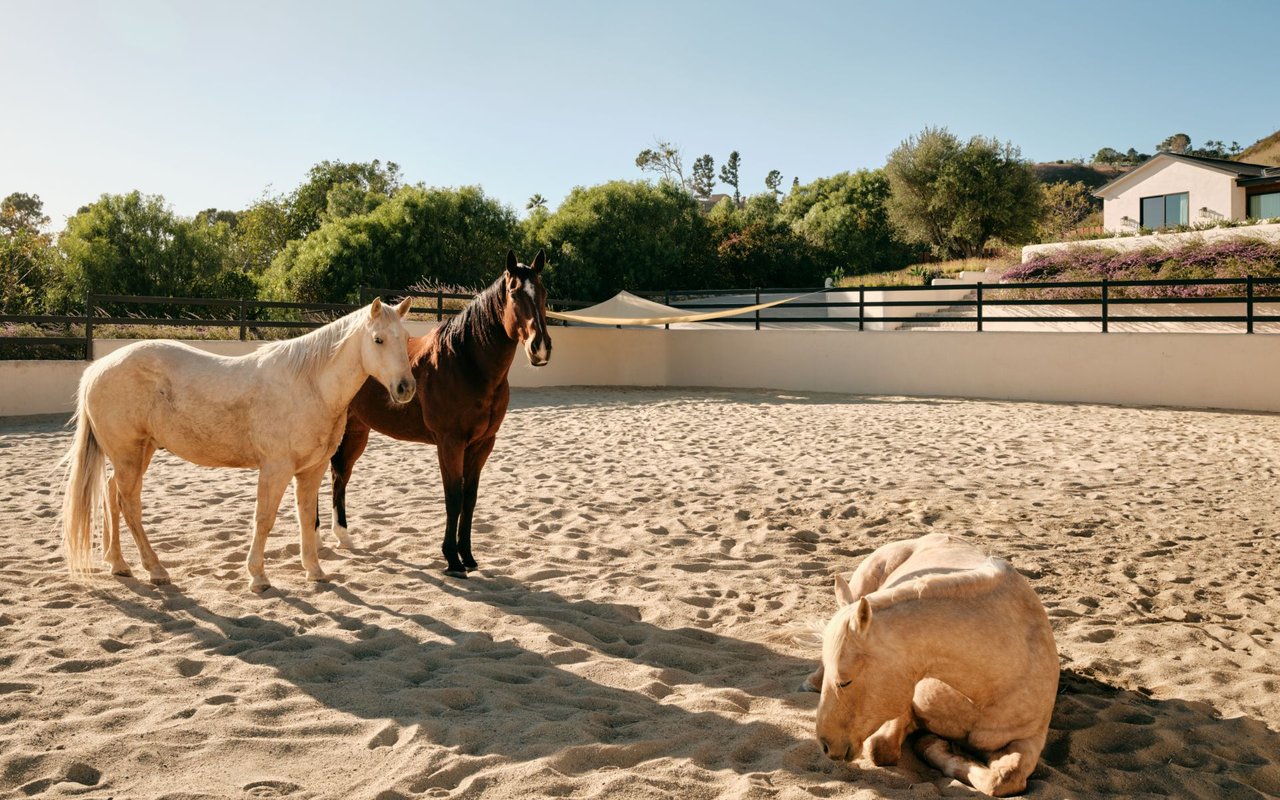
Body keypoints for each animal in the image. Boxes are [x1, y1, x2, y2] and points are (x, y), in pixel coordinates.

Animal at [62, 296, 412, 588]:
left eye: (406, 339)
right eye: (378, 339)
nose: (405, 387)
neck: (309, 385)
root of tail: (97, 369)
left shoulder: (311, 470)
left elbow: (305, 518)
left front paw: (314, 571)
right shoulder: (275, 469)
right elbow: (264, 519)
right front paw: (258, 576)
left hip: (138, 453)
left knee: (111, 494)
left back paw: (118, 563)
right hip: (128, 455)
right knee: (129, 505)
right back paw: (156, 569)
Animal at [330, 248, 550, 573]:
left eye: (544, 292)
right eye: (514, 293)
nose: (540, 347)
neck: (465, 363)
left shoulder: (482, 444)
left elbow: (469, 498)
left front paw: (467, 556)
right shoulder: (450, 443)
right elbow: (453, 497)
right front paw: (452, 559)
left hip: (357, 430)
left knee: (340, 474)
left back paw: (342, 537)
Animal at [814, 532, 1054, 793]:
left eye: (845, 682)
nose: (825, 745)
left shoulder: (1030, 739)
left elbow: (1004, 779)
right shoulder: (907, 699)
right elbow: (881, 748)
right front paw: (932, 744)